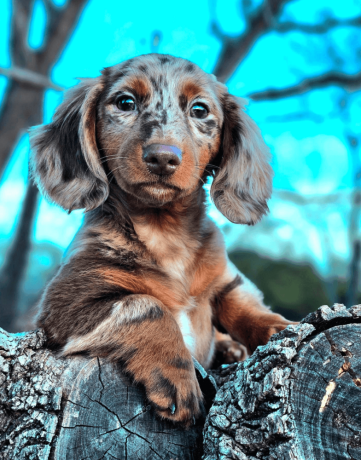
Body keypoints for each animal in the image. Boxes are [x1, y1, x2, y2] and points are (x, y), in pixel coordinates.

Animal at [30, 53, 292, 424]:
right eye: (125, 102)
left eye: (199, 109)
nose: (162, 157)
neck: (164, 231)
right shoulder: (66, 303)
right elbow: (147, 305)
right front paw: (177, 376)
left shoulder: (227, 280)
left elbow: (247, 307)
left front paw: (282, 328)